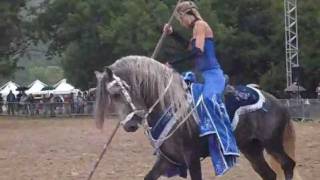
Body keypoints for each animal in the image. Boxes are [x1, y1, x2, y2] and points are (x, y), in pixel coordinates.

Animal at [94, 55, 298, 179]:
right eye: (111, 96)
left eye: (117, 93)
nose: (130, 125)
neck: (170, 104)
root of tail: (277, 102)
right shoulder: (167, 159)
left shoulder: (191, 156)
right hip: (251, 148)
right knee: (269, 174)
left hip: (272, 144)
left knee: (288, 164)